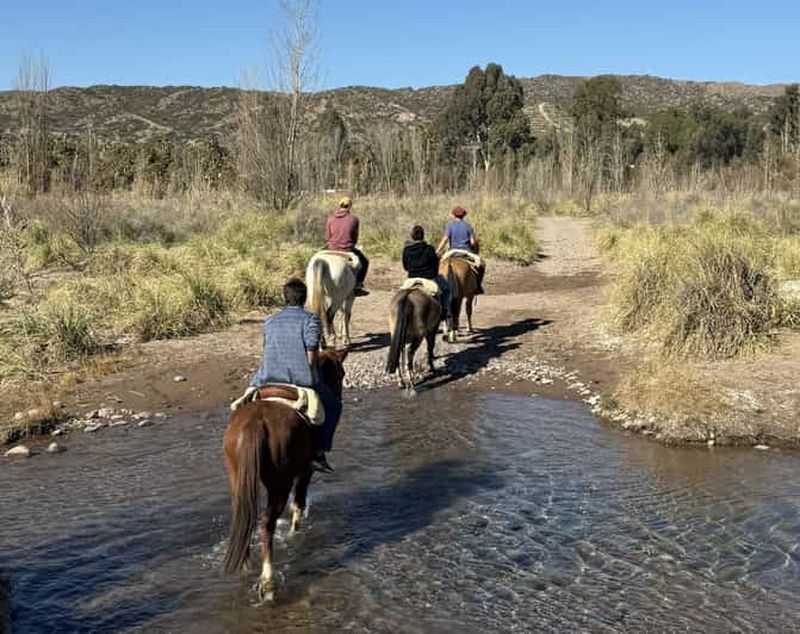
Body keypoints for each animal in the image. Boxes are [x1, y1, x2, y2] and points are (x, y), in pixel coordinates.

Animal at [222, 348, 347, 600]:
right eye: (341, 373)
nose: (339, 395)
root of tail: (254, 422)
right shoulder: (305, 471)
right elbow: (298, 504)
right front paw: (294, 535)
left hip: (238, 479)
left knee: (245, 516)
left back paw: (245, 564)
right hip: (280, 484)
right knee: (266, 523)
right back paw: (268, 579)